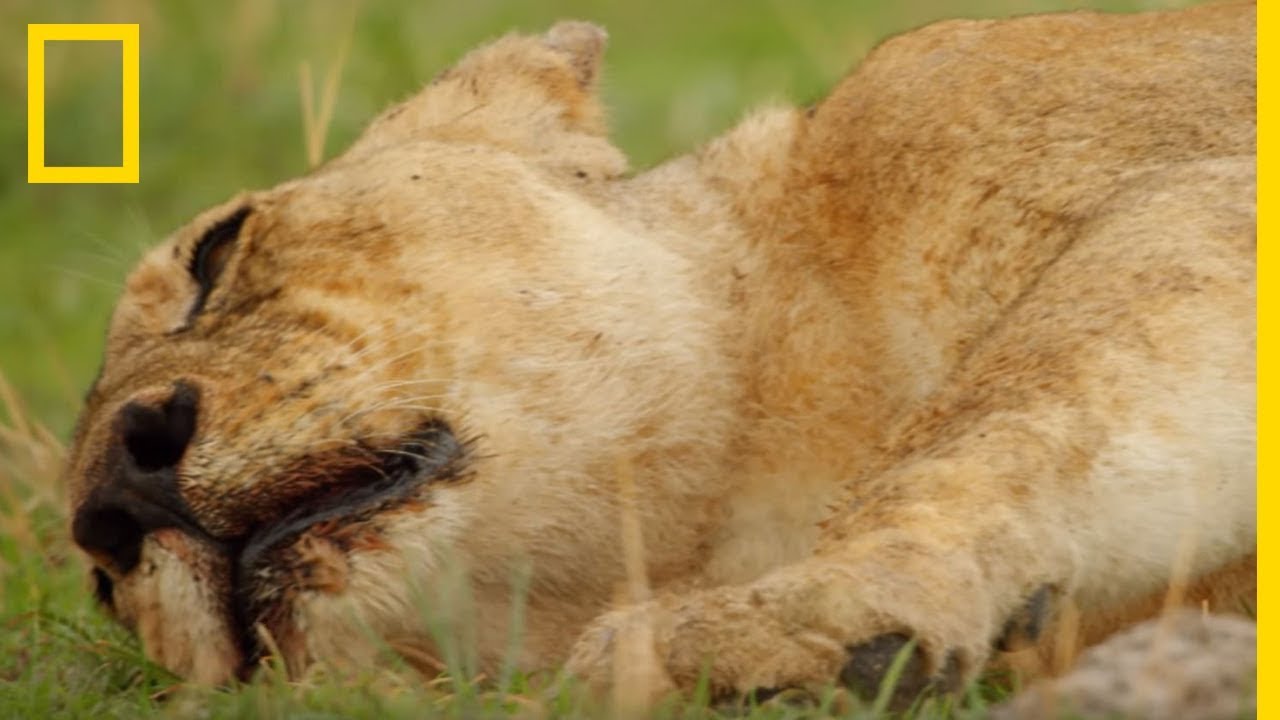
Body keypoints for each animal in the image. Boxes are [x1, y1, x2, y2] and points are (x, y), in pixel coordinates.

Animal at [63, 0, 1255, 705]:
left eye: (217, 251)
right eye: (100, 589)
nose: (115, 498)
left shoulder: (1207, 192)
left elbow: (1006, 416)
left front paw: (782, 626)